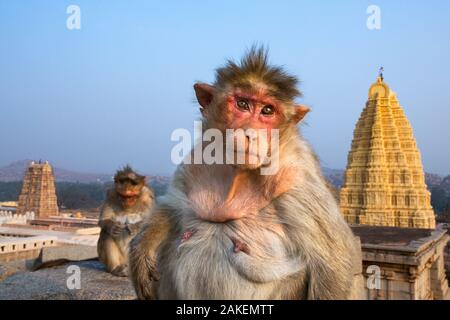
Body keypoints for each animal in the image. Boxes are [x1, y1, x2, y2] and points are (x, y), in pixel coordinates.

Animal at [128, 48, 360, 300]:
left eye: (267, 110)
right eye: (242, 104)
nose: (251, 134)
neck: (239, 173)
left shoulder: (296, 174)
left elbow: (332, 262)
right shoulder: (195, 160)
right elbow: (172, 207)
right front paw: (141, 249)